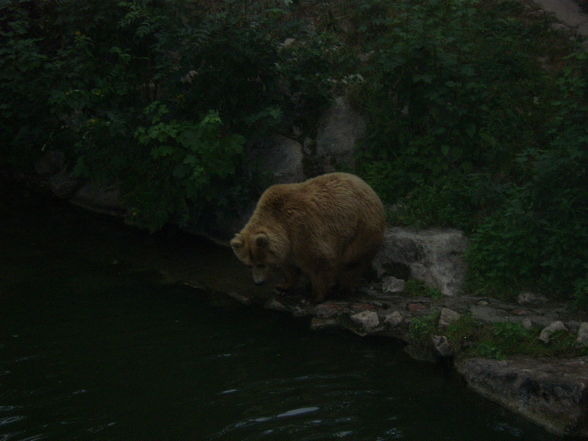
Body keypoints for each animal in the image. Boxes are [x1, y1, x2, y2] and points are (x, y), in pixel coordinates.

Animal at [230, 172, 386, 302]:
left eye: (261, 264)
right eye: (249, 265)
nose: (258, 282)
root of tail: (367, 185)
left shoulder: (302, 229)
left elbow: (319, 261)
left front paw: (316, 295)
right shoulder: (288, 246)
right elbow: (290, 266)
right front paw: (283, 286)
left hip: (361, 228)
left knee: (352, 261)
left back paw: (345, 287)